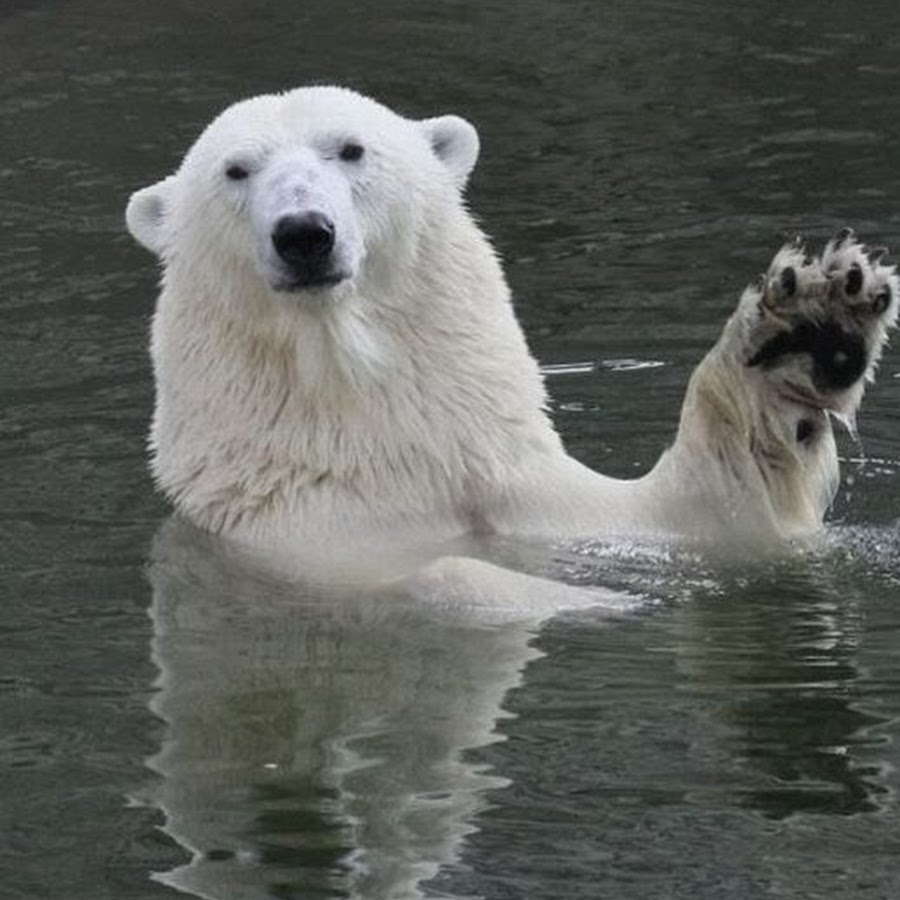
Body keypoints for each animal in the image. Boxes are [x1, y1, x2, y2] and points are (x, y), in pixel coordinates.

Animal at [125, 84, 892, 576]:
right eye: (235, 169)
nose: (304, 233)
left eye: (350, 149)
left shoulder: (524, 493)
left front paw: (813, 326)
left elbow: (708, 514)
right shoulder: (307, 536)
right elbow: (446, 579)